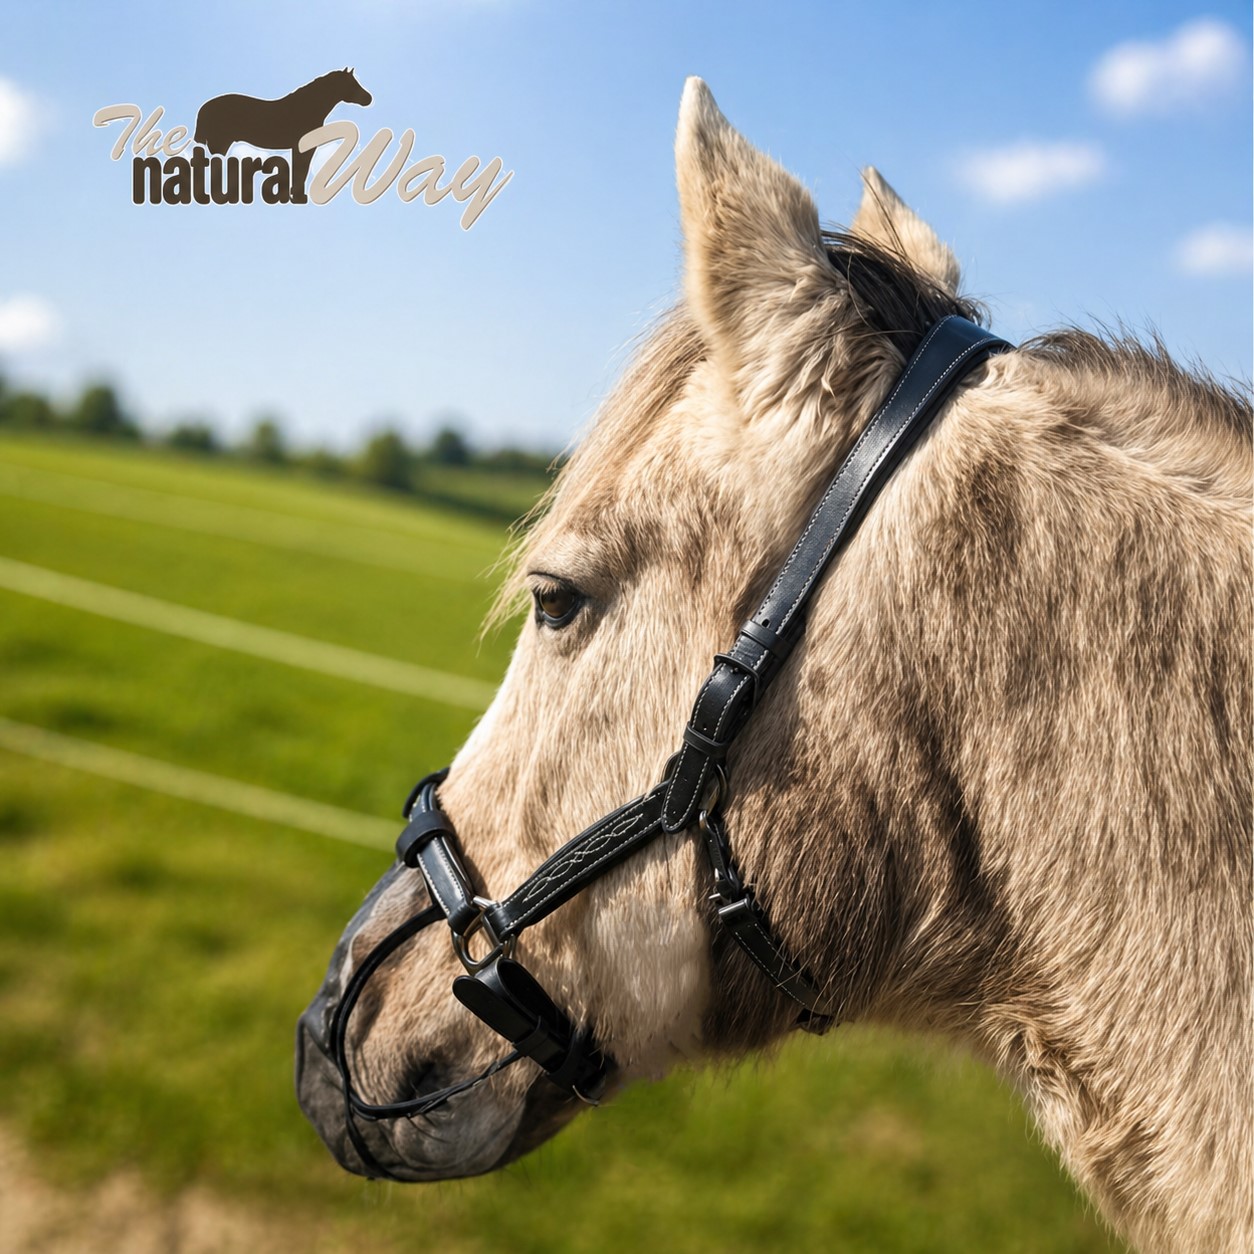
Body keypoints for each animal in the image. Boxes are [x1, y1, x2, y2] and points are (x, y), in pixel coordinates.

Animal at [193, 68, 371, 201]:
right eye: (352, 83)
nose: (369, 98)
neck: (308, 108)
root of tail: (204, 108)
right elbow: (301, 170)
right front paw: (298, 195)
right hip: (220, 144)